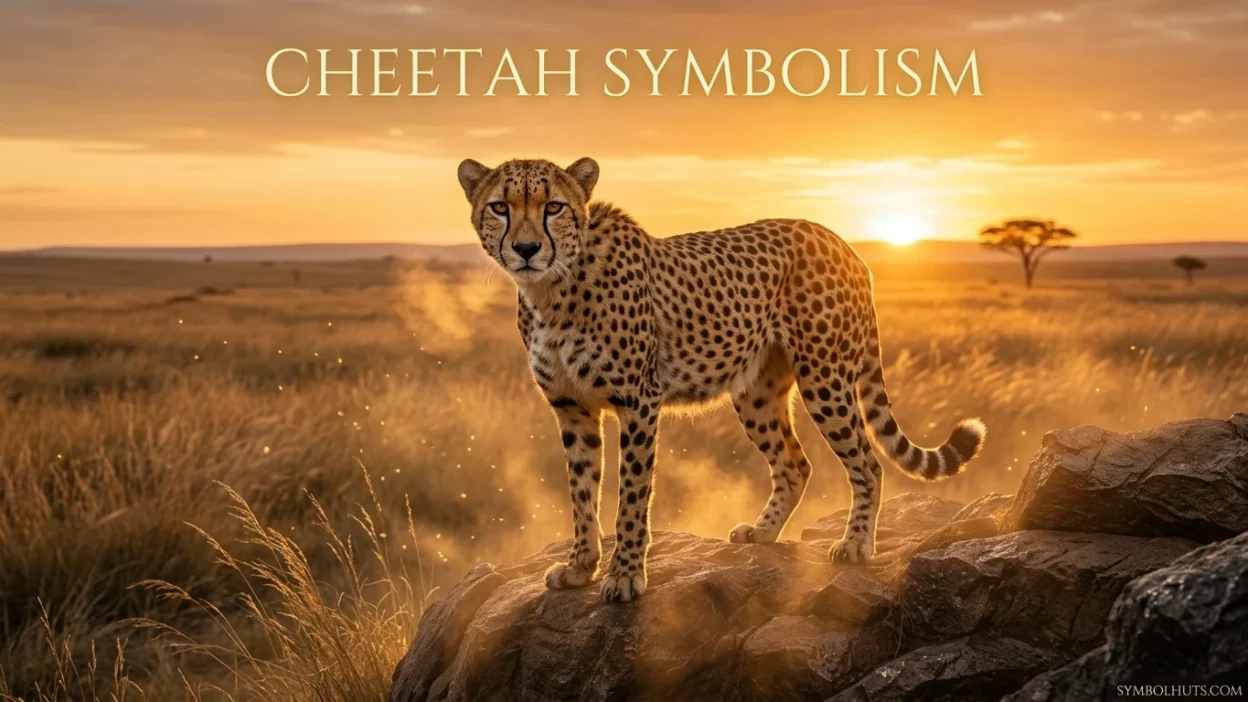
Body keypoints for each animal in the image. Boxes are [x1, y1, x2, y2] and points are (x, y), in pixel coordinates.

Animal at [455, 156, 986, 603]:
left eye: (554, 207)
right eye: (500, 207)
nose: (526, 249)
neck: (551, 289)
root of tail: (840, 241)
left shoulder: (638, 401)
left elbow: (632, 496)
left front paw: (625, 575)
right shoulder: (573, 409)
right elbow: (581, 493)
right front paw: (580, 567)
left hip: (825, 377)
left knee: (868, 463)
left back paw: (854, 544)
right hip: (755, 393)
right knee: (795, 464)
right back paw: (763, 532)